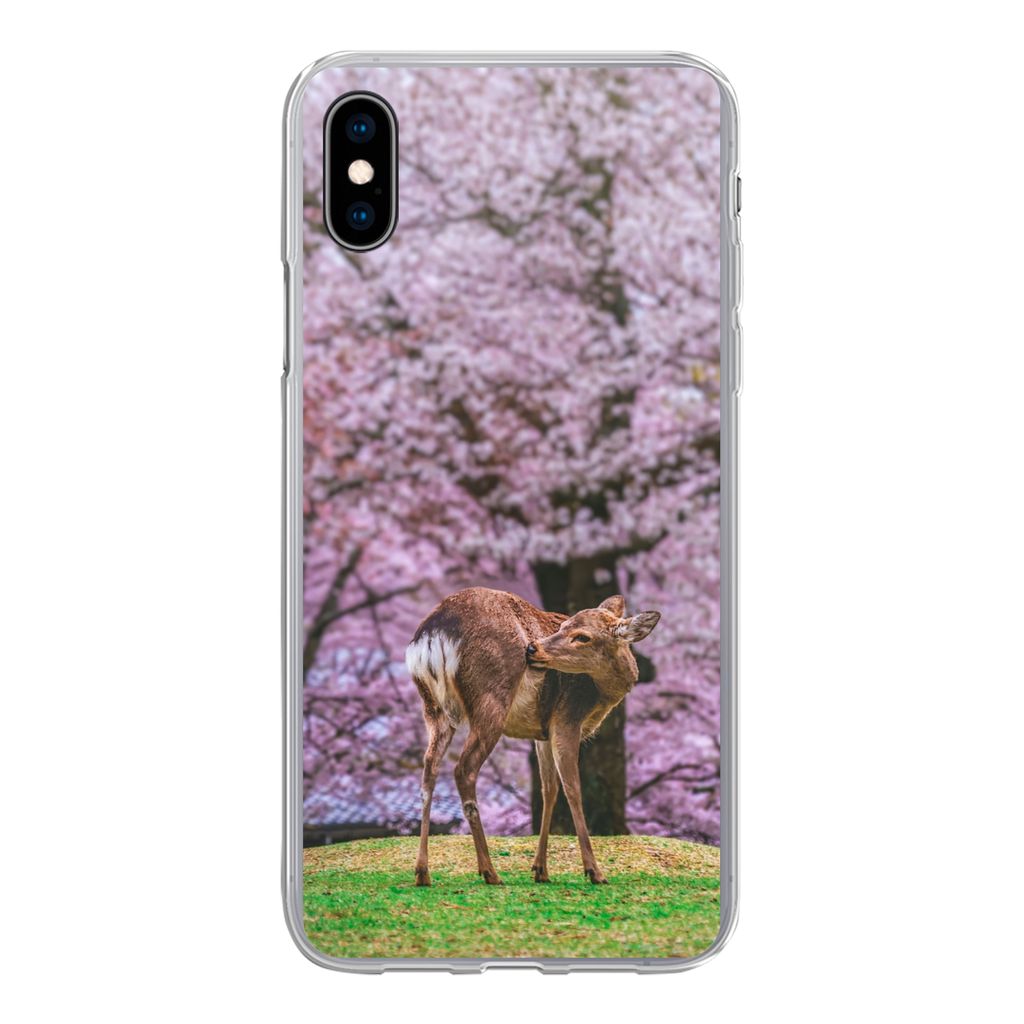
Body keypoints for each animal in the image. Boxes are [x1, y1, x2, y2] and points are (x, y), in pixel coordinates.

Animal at [405, 586, 660, 887]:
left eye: (582, 636)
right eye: (564, 626)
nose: (533, 648)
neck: (602, 695)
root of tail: (433, 634)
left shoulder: (543, 732)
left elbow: (549, 790)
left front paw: (540, 870)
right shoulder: (567, 717)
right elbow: (573, 788)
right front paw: (594, 871)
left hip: (433, 708)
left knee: (429, 769)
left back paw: (423, 872)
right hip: (491, 699)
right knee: (464, 769)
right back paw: (489, 871)